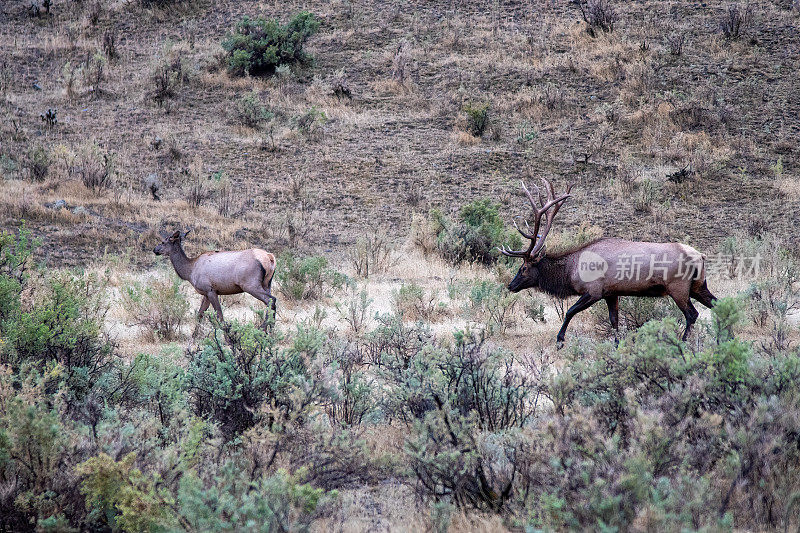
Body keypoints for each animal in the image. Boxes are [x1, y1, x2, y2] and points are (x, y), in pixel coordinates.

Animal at [500, 180, 720, 344]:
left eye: (523, 268)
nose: (511, 285)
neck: (572, 271)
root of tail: (700, 256)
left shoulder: (594, 290)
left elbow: (569, 312)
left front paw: (560, 340)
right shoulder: (611, 293)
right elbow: (614, 322)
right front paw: (616, 346)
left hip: (678, 287)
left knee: (692, 314)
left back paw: (682, 343)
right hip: (699, 285)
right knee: (717, 304)